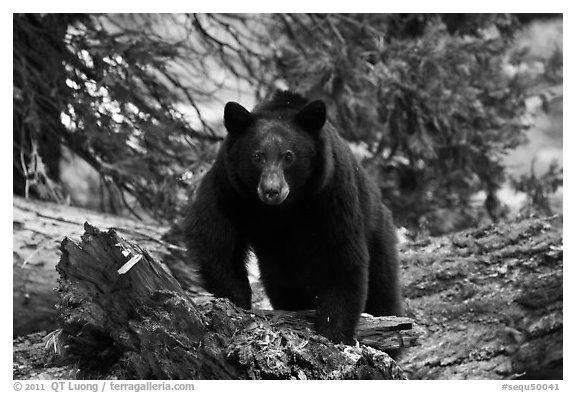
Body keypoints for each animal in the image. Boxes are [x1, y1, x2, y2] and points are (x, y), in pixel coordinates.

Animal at [183, 90, 400, 342]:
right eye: (257, 156)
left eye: (289, 156)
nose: (271, 190)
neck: (285, 209)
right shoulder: (230, 187)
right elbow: (215, 237)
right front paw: (237, 299)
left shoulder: (332, 194)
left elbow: (343, 256)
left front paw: (333, 330)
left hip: (378, 238)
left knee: (383, 291)